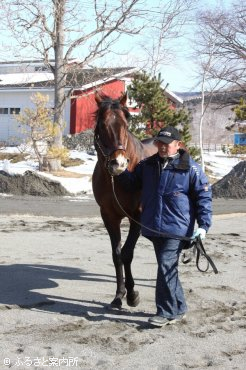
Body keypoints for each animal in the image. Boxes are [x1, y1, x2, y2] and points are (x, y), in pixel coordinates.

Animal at [92, 92, 156, 310]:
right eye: (102, 125)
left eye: (126, 124)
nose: (118, 164)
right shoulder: (109, 216)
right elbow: (117, 255)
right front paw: (119, 295)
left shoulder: (137, 216)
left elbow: (127, 253)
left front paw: (132, 294)